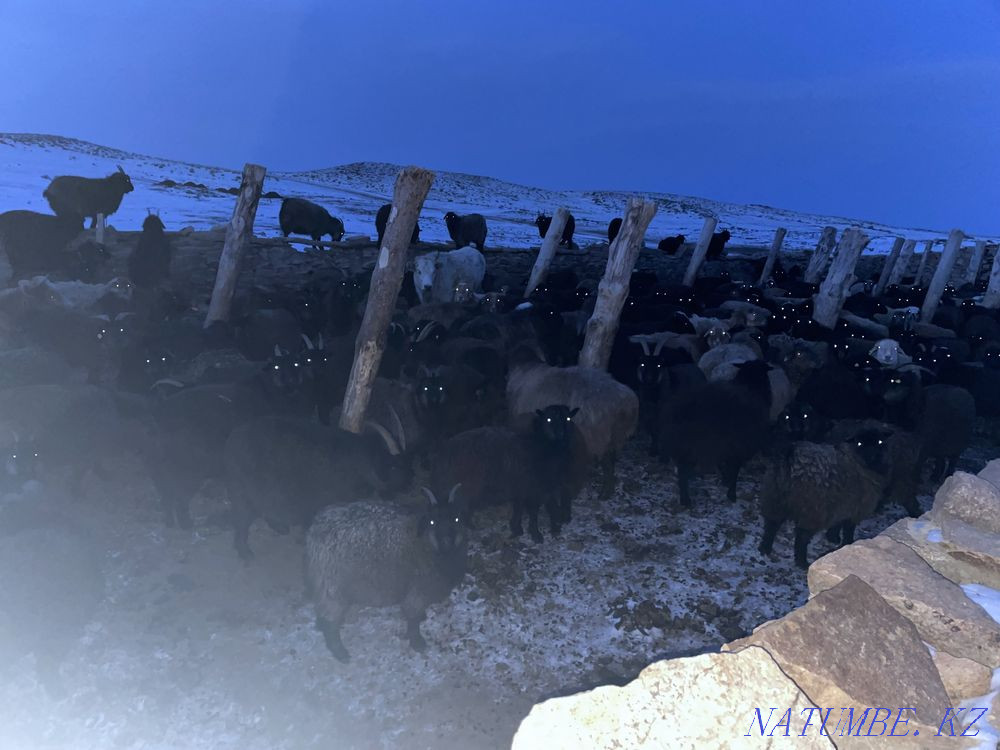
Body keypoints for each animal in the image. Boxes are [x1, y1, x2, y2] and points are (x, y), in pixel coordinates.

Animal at [224, 416, 411, 559]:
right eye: (395, 467)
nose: (407, 483)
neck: (363, 464)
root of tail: (232, 440)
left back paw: (279, 527)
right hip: (243, 495)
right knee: (241, 521)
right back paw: (245, 552)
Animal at [305, 493, 467, 662]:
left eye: (457, 519)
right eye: (432, 521)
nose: (446, 543)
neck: (423, 544)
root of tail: (315, 530)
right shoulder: (418, 588)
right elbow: (413, 617)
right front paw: (417, 642)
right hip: (332, 586)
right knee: (330, 619)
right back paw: (340, 653)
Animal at [758, 427, 891, 568]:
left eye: (881, 441)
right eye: (859, 443)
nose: (873, 455)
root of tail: (790, 456)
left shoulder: (843, 503)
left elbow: (837, 523)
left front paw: (832, 538)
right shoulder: (857, 506)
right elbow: (849, 528)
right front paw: (848, 543)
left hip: (775, 498)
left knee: (771, 525)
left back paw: (765, 549)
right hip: (811, 509)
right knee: (802, 536)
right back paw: (802, 562)